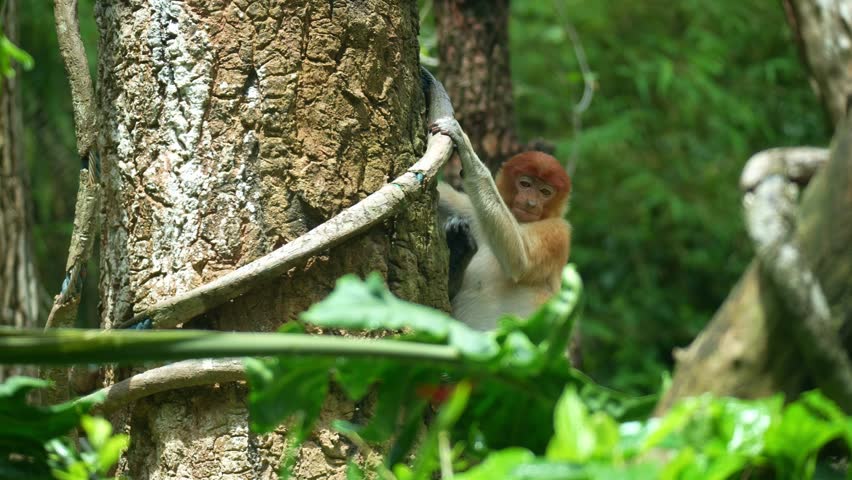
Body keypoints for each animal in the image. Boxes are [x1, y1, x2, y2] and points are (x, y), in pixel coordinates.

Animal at [431, 118, 572, 331]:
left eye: (545, 192)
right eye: (525, 184)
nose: (531, 203)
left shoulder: (558, 231)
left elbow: (520, 261)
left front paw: (465, 148)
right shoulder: (467, 209)